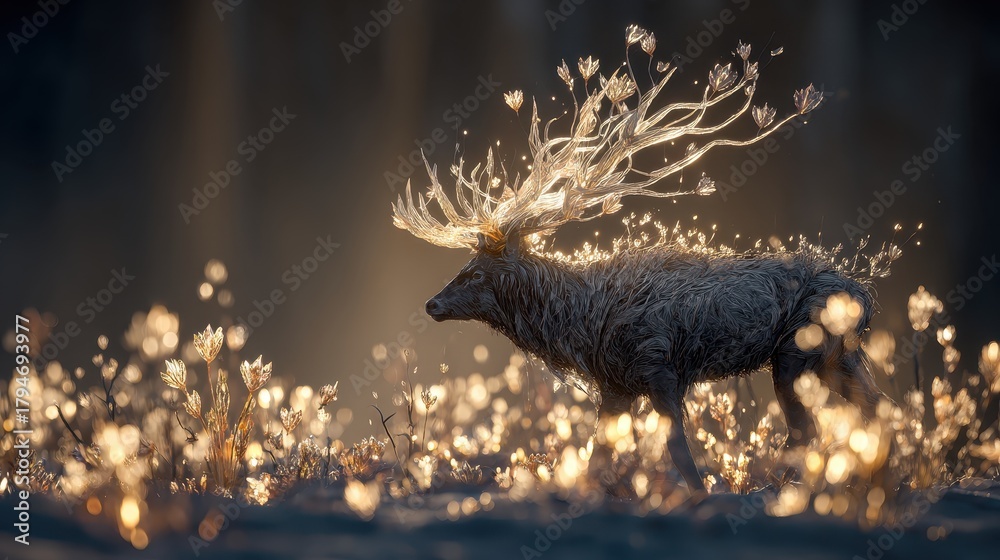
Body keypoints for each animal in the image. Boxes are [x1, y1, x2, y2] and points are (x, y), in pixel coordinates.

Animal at [392, 29, 892, 494]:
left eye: (474, 272)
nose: (431, 304)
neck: (581, 320)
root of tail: (865, 297)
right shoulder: (616, 385)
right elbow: (599, 451)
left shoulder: (658, 364)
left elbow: (675, 446)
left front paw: (700, 493)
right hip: (837, 358)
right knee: (876, 409)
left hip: (797, 352)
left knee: (809, 430)